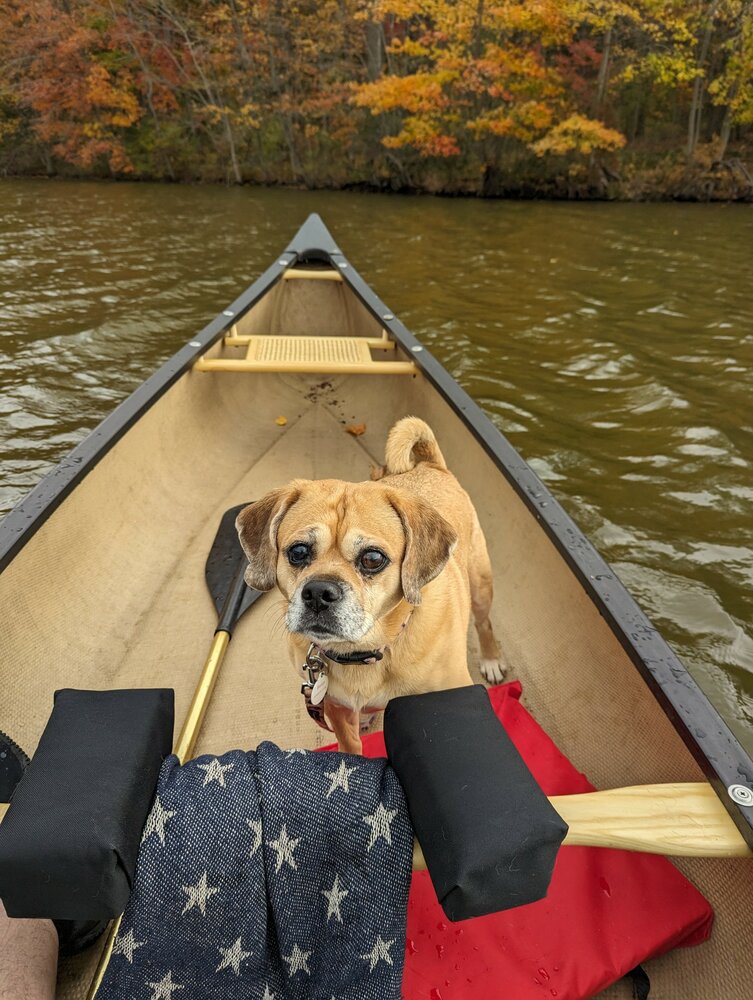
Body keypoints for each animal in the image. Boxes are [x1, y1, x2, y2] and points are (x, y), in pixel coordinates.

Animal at [235, 414, 506, 752]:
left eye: (373, 558)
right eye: (297, 552)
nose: (318, 593)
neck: (368, 651)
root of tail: (431, 466)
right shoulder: (336, 708)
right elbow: (351, 748)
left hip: (481, 585)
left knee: (484, 623)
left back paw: (491, 659)